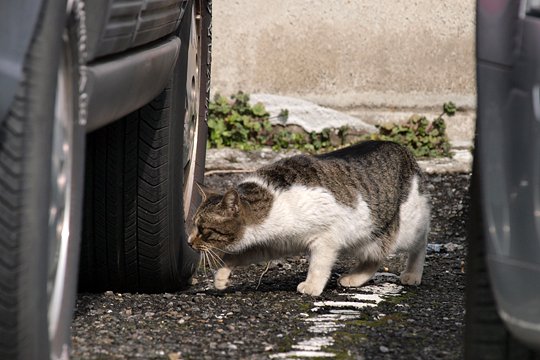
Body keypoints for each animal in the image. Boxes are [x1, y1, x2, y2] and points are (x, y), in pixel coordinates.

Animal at [189, 140, 430, 296]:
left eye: (203, 229)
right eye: (192, 225)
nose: (189, 242)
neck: (272, 202)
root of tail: (402, 148)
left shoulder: (326, 239)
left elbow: (318, 266)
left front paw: (311, 287)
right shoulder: (272, 244)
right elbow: (237, 257)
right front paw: (221, 276)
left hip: (406, 227)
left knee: (420, 242)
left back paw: (412, 274)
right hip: (367, 237)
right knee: (375, 257)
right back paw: (354, 278)